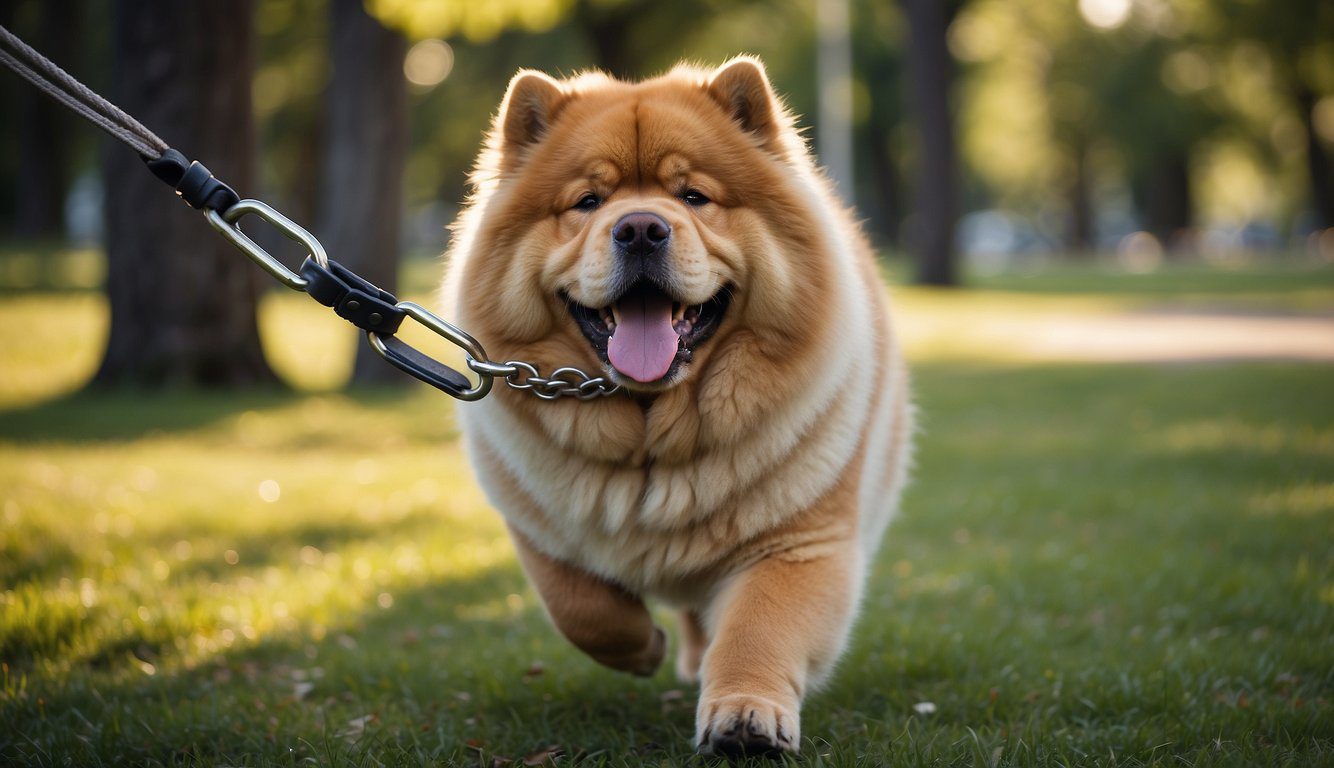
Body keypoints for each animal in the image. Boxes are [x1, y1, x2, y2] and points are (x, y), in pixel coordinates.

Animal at [442, 58, 912, 757]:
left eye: (693, 197)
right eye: (587, 202)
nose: (640, 227)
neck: (651, 429)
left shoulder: (800, 543)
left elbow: (759, 628)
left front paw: (745, 717)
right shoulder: (536, 525)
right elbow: (581, 607)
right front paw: (644, 648)